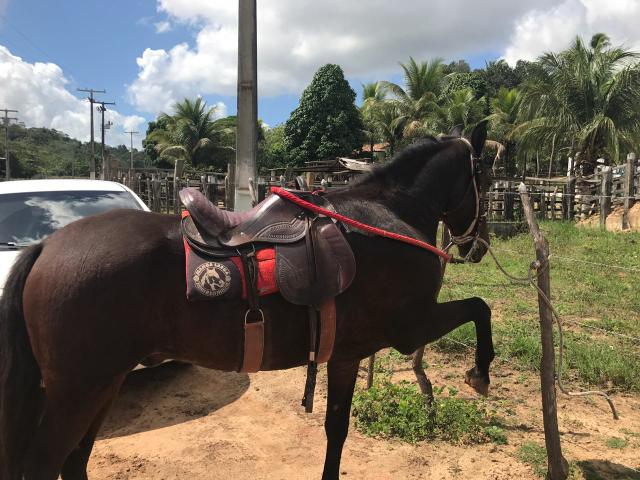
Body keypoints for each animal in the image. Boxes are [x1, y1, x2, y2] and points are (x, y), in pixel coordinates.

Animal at [0, 122, 495, 480]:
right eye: (485, 180)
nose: (479, 246)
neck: (386, 216)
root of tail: (45, 246)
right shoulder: (411, 327)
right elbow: (479, 308)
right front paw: (480, 373)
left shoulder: (347, 353)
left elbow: (336, 429)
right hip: (78, 391)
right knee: (46, 464)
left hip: (104, 383)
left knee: (74, 462)